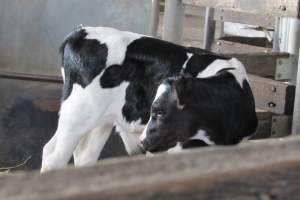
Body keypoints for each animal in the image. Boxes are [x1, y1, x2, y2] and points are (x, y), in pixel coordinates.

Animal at [41, 25, 258, 172]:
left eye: (160, 111)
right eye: (153, 110)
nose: (142, 143)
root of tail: (80, 32)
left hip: (100, 120)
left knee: (85, 155)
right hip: (77, 114)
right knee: (54, 157)